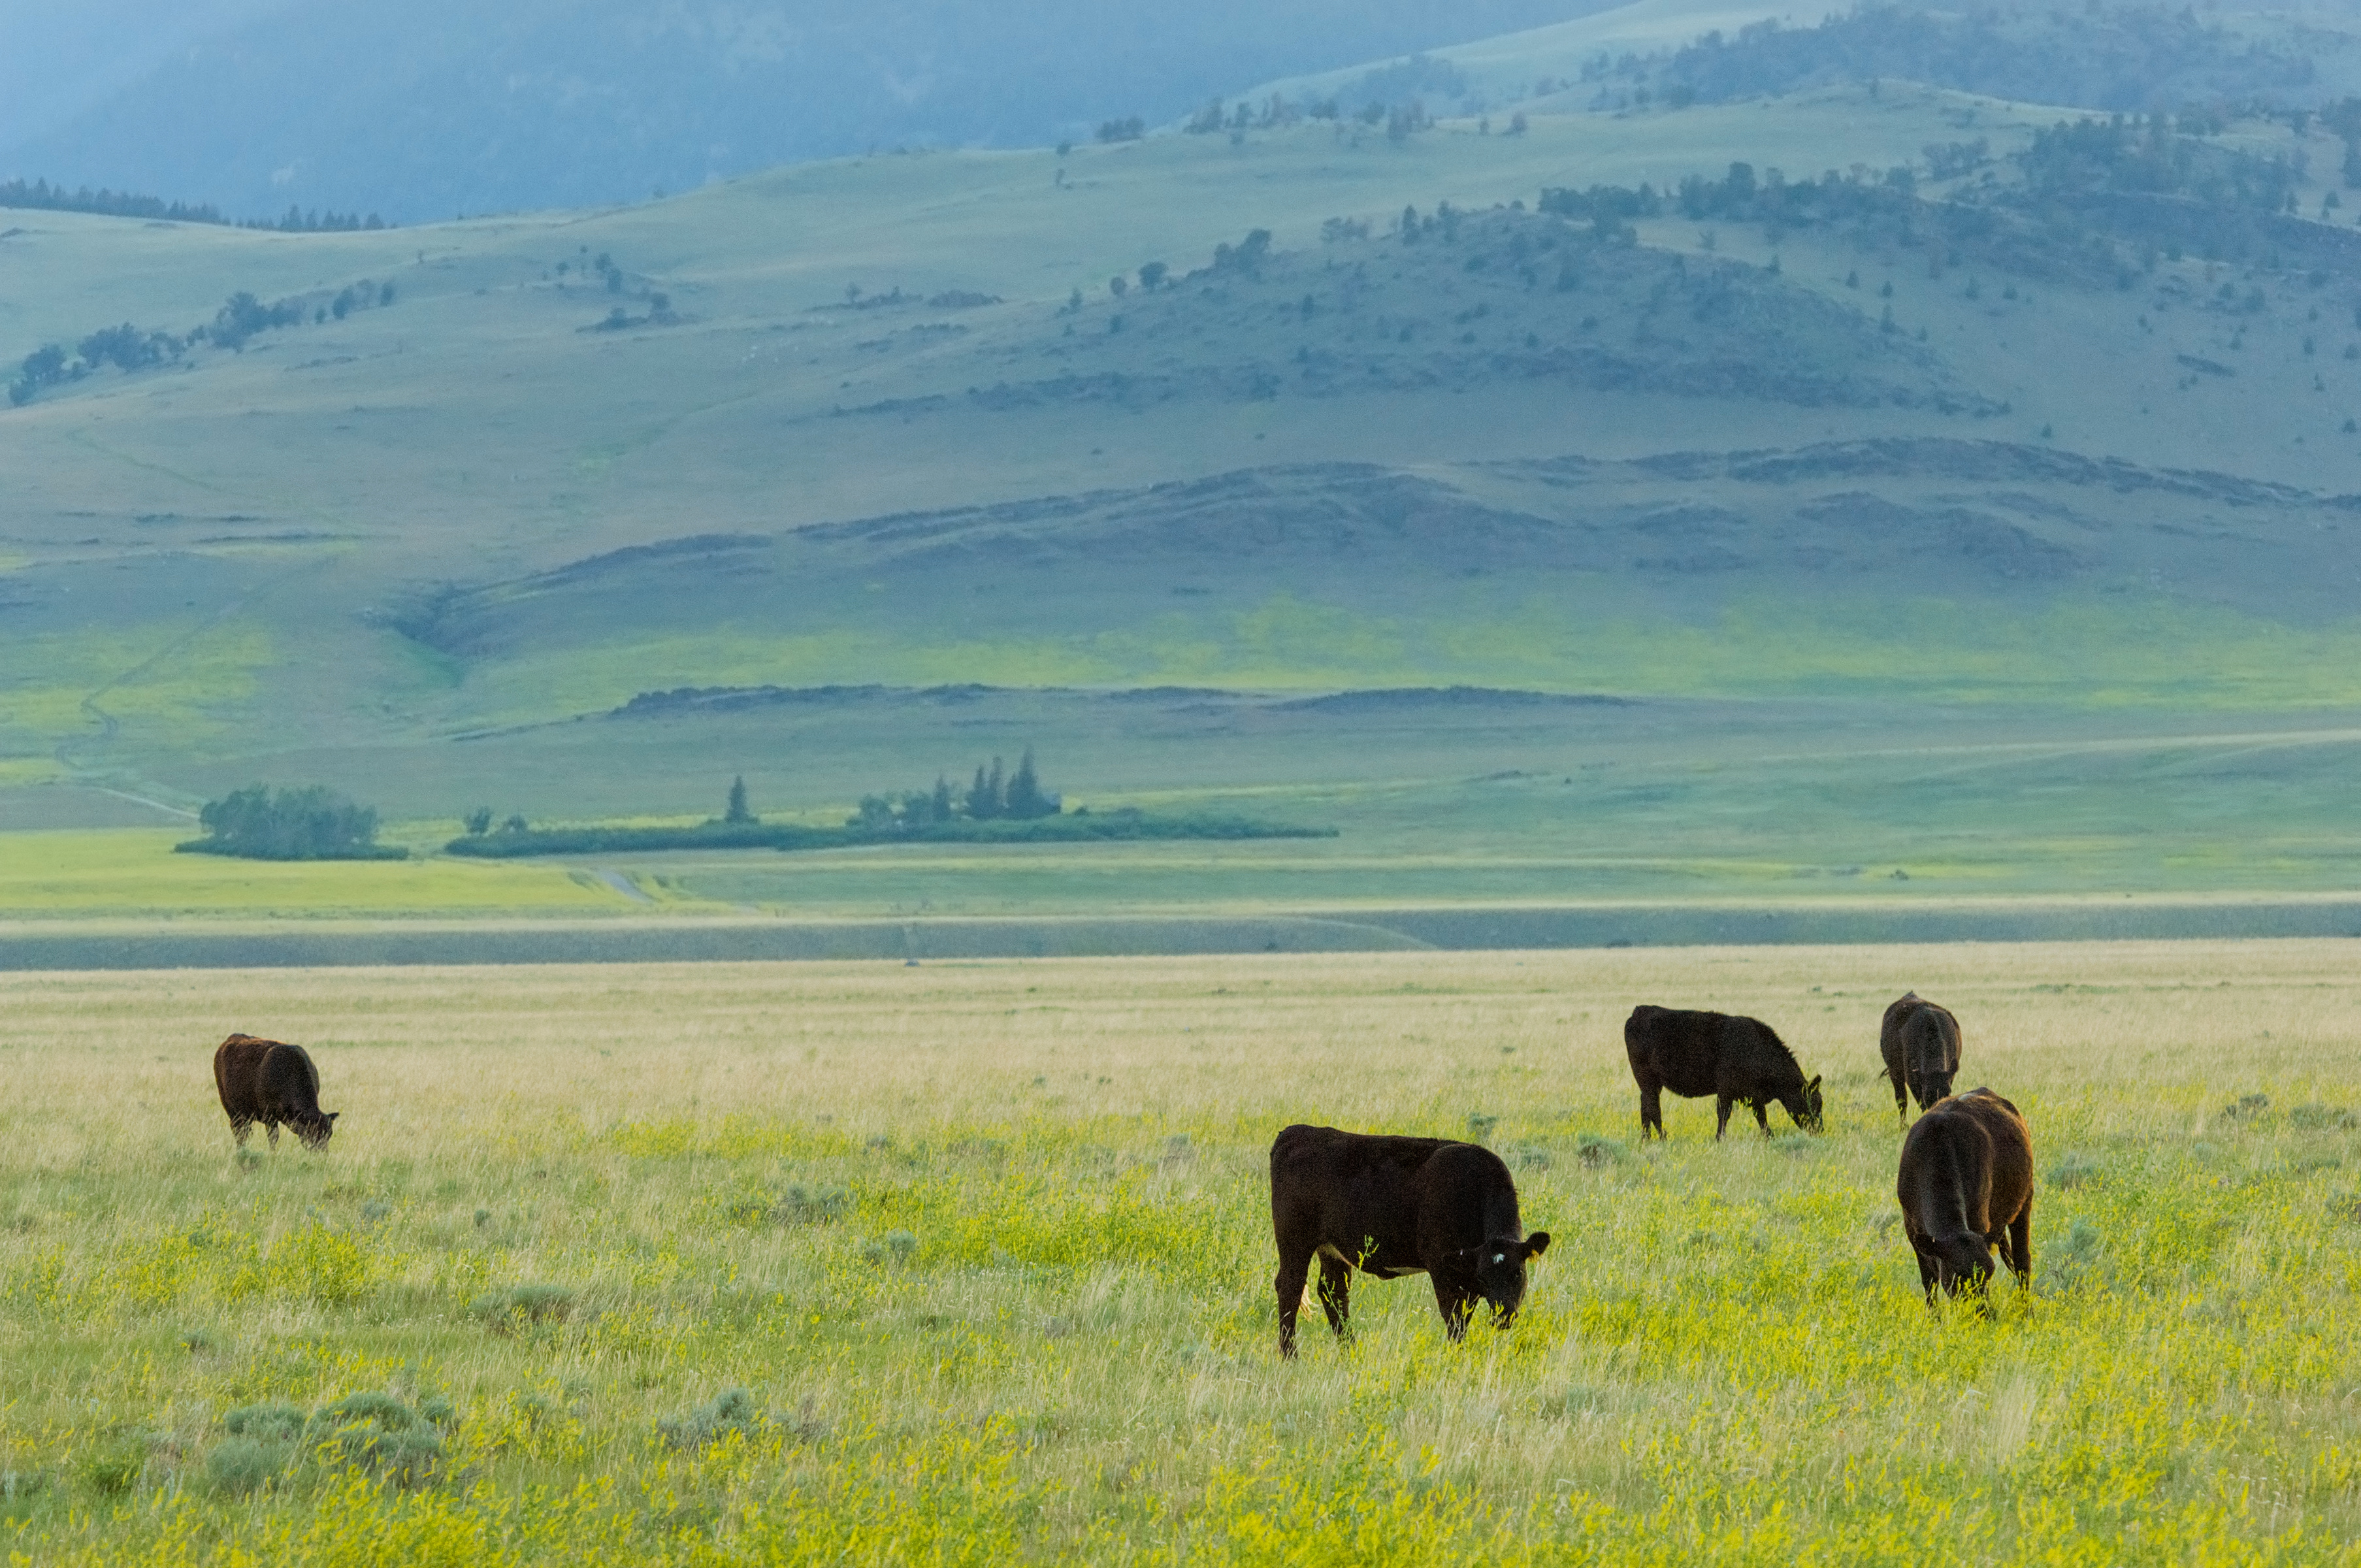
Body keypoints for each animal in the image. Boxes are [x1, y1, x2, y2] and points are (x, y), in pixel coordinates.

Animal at [211, 1034, 337, 1147]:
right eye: (310, 1133)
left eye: (329, 1135)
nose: (322, 1153)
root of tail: (225, 1044)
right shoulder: (269, 1117)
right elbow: (273, 1137)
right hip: (232, 1111)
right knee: (239, 1133)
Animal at [1275, 1119, 1548, 1350]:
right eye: (1484, 1276)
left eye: (1518, 1272)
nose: (1504, 1316)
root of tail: (1298, 1131)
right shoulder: (1443, 1269)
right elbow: (1455, 1320)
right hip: (1294, 1239)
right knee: (1290, 1286)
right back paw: (1290, 1354)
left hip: (1331, 1248)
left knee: (1334, 1291)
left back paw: (1350, 1351)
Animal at [1624, 1005, 1823, 1138]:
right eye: (1814, 1104)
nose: (1819, 1130)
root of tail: (1639, 1011)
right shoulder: (1727, 1090)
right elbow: (1725, 1114)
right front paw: (1720, 1139)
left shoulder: (1752, 1096)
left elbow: (1761, 1116)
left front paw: (1769, 1137)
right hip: (1647, 1080)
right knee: (1652, 1108)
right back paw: (1662, 1138)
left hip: (1651, 1085)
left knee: (1647, 1107)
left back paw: (1647, 1139)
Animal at [1870, 992, 1964, 1128]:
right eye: (1927, 1093)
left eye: (1948, 1092)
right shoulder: (1913, 1080)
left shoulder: (1950, 1077)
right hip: (1895, 1072)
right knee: (1901, 1099)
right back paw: (1903, 1127)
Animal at [1898, 1086, 2030, 1303]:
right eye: (1956, 1278)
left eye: (1989, 1274)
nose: (1983, 1310)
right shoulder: (1913, 1230)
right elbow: (1930, 1282)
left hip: (2025, 1202)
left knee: (2023, 1263)